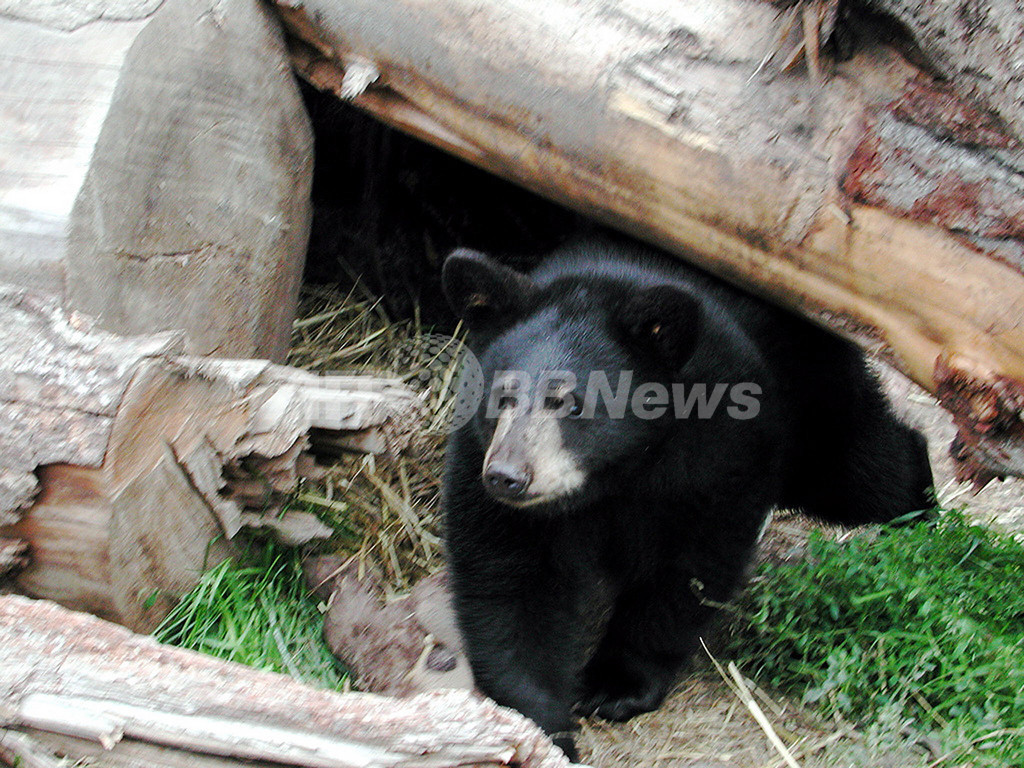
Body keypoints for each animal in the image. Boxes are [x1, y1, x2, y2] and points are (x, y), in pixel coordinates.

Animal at [436, 236, 933, 765]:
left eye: (569, 402)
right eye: (501, 395)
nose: (508, 477)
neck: (615, 473)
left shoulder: (720, 446)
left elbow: (691, 566)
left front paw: (615, 685)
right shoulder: (481, 466)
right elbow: (509, 583)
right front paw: (537, 728)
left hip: (814, 385)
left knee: (861, 469)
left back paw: (924, 514)